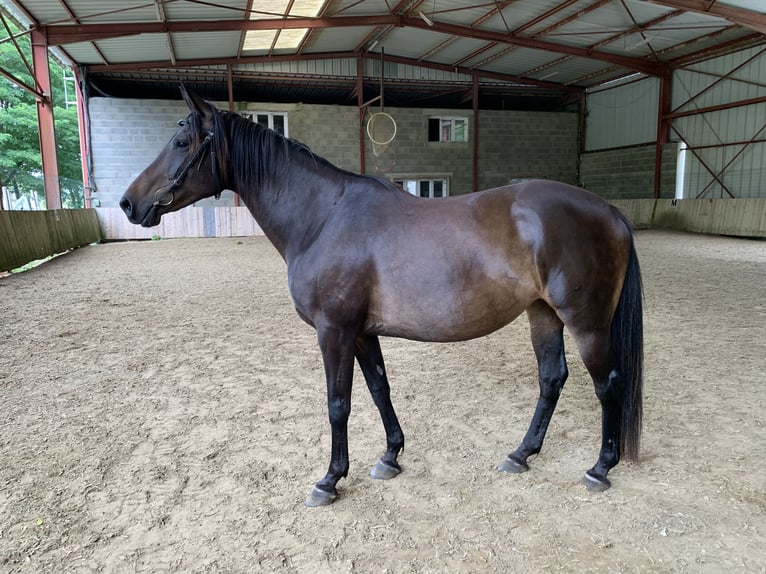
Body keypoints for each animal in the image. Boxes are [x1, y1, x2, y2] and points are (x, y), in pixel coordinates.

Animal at [121, 85, 640, 508]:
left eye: (182, 143)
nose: (129, 203)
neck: (323, 217)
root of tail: (609, 210)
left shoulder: (334, 331)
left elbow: (338, 404)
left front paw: (330, 480)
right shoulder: (361, 332)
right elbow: (378, 389)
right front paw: (390, 456)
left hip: (587, 322)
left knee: (608, 383)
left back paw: (600, 468)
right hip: (543, 315)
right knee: (552, 379)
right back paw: (521, 453)